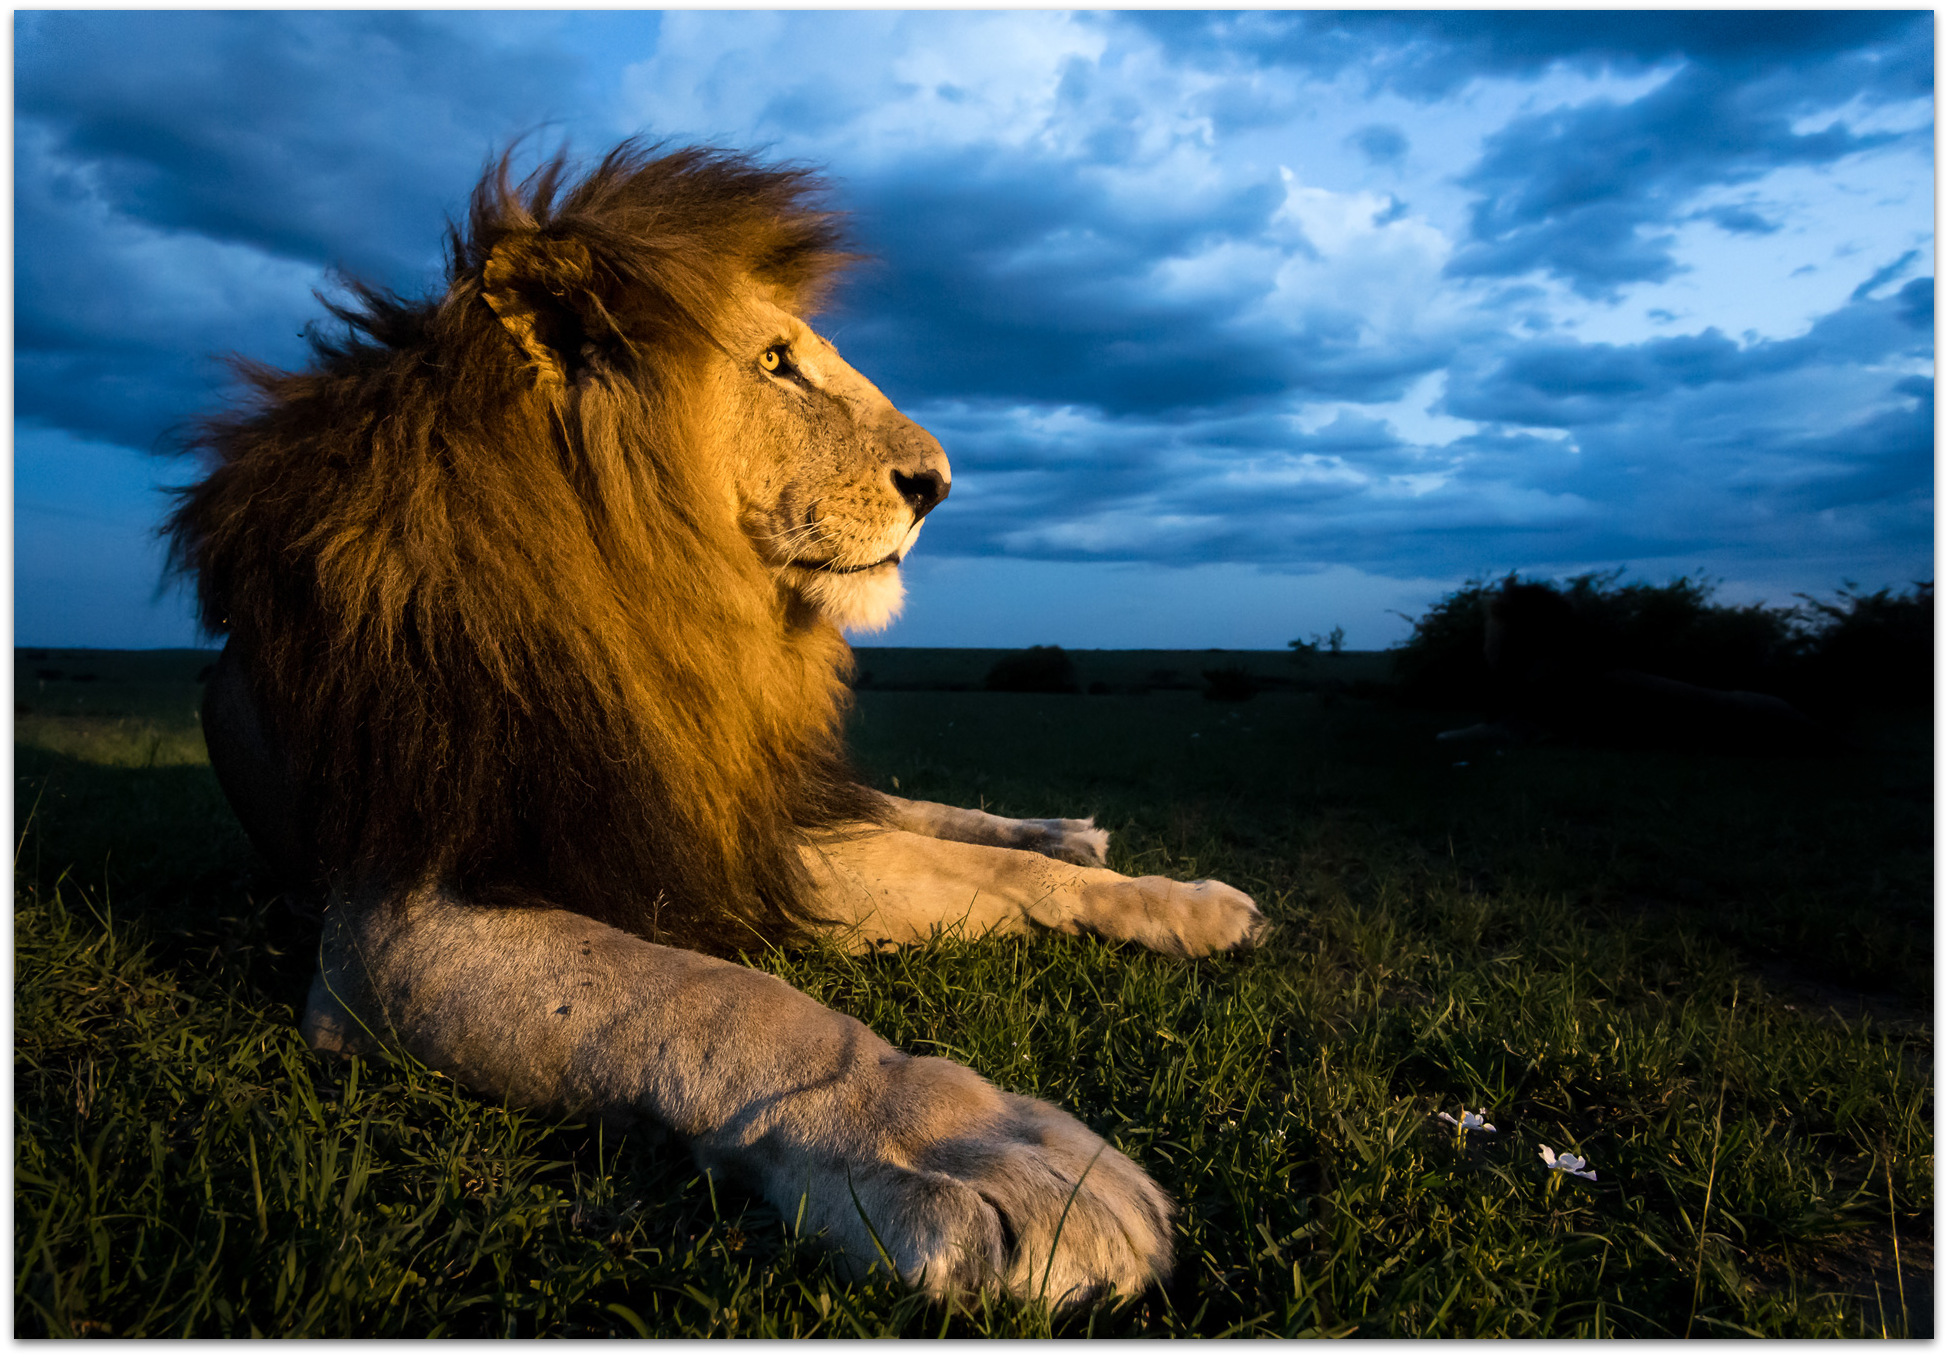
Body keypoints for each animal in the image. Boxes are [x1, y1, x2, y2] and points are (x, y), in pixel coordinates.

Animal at [167, 143, 1262, 1308]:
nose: (937, 486)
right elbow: (724, 1000)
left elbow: (988, 878)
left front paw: (1167, 904)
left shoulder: (730, 829)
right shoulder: (396, 925)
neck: (663, 613)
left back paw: (1092, 845)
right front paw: (974, 1152)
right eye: (776, 362)